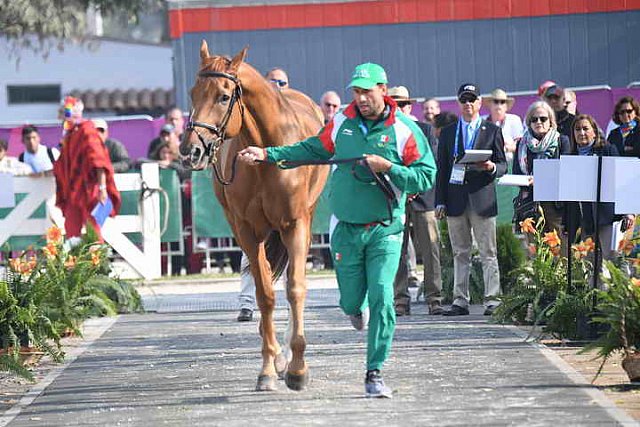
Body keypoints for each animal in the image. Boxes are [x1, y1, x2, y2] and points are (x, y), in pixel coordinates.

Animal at [180, 41, 330, 392]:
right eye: (193, 93)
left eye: (224, 96)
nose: (191, 150)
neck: (267, 150)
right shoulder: (248, 231)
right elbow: (264, 295)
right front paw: (268, 369)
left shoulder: (295, 225)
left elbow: (295, 289)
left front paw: (298, 368)